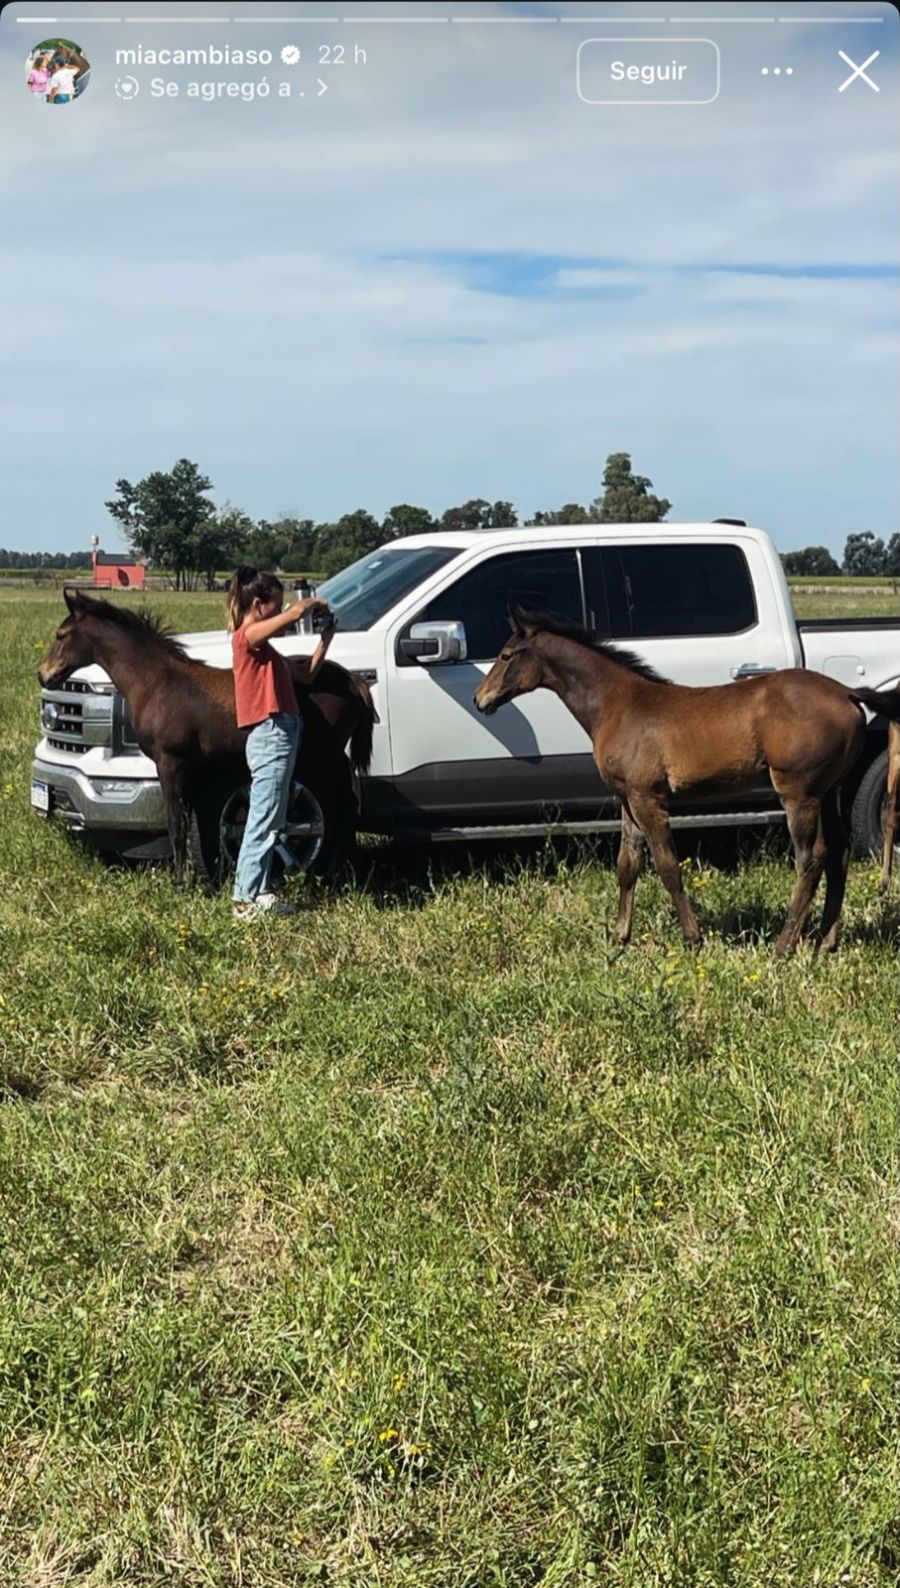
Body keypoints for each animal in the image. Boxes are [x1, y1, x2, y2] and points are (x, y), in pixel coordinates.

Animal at [38, 588, 378, 882]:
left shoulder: (169, 762)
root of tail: (353, 680)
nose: (44, 674)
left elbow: (175, 823)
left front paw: (180, 881)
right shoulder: (190, 768)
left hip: (323, 759)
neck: (156, 683)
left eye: (61, 635)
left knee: (343, 806)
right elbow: (188, 822)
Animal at [473, 607, 900, 954]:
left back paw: (783, 945)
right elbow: (627, 864)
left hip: (799, 794)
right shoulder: (628, 798)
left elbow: (667, 866)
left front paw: (693, 938)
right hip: (828, 792)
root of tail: (847, 693)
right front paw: (620, 938)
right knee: (840, 854)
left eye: (506, 655)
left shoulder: (649, 799)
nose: (481, 699)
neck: (618, 705)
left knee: (811, 860)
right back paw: (826, 941)